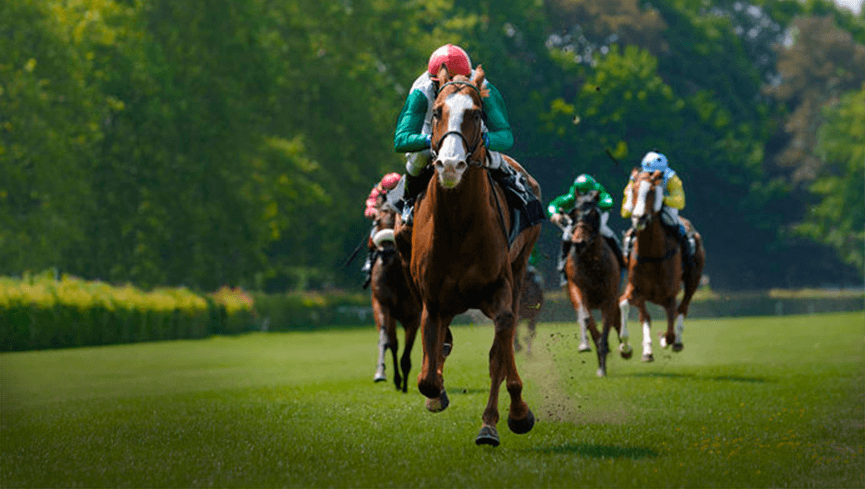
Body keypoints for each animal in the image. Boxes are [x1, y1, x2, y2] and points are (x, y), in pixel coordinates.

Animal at [366, 200, 420, 390]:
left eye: (395, 220)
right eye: (376, 222)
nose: (387, 253)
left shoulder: (414, 315)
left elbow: (407, 350)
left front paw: (404, 383)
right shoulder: (382, 304)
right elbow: (388, 341)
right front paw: (381, 374)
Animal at [396, 65, 540, 446]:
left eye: (477, 113)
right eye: (436, 112)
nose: (449, 165)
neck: (459, 223)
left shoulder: (500, 289)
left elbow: (499, 353)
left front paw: (505, 418)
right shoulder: (432, 300)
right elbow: (427, 379)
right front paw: (436, 394)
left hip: (521, 267)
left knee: (504, 345)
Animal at [564, 189, 632, 376]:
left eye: (594, 214)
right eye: (573, 214)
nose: (579, 243)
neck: (591, 261)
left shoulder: (609, 297)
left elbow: (608, 321)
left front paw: (603, 364)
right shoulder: (577, 288)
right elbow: (586, 318)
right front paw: (586, 345)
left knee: (616, 319)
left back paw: (625, 349)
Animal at [616, 170, 704, 360]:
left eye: (651, 191)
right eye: (632, 190)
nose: (639, 218)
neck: (652, 255)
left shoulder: (670, 294)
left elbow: (670, 328)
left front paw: (665, 339)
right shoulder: (636, 289)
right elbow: (626, 304)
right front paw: (626, 347)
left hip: (693, 279)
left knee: (682, 308)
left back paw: (676, 341)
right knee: (646, 316)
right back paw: (647, 351)